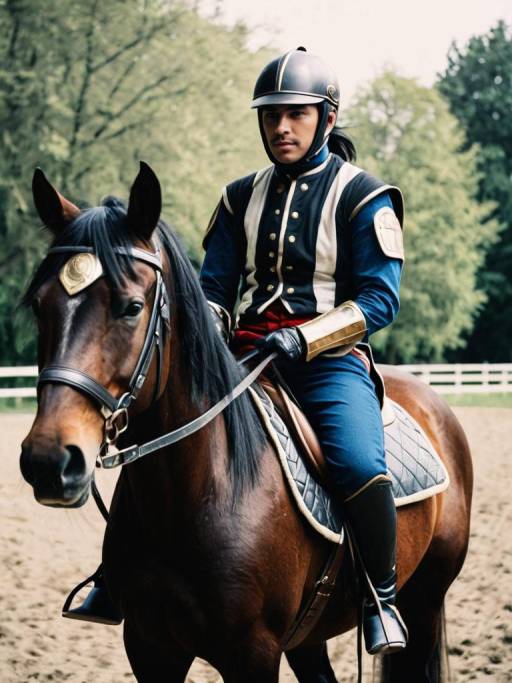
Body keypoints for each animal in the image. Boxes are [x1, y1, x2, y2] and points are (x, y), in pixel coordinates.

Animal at [20, 162, 473, 683]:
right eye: (39, 305)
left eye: (131, 307)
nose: (49, 461)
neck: (196, 492)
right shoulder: (149, 647)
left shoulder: (253, 652)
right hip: (309, 636)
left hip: (424, 603)